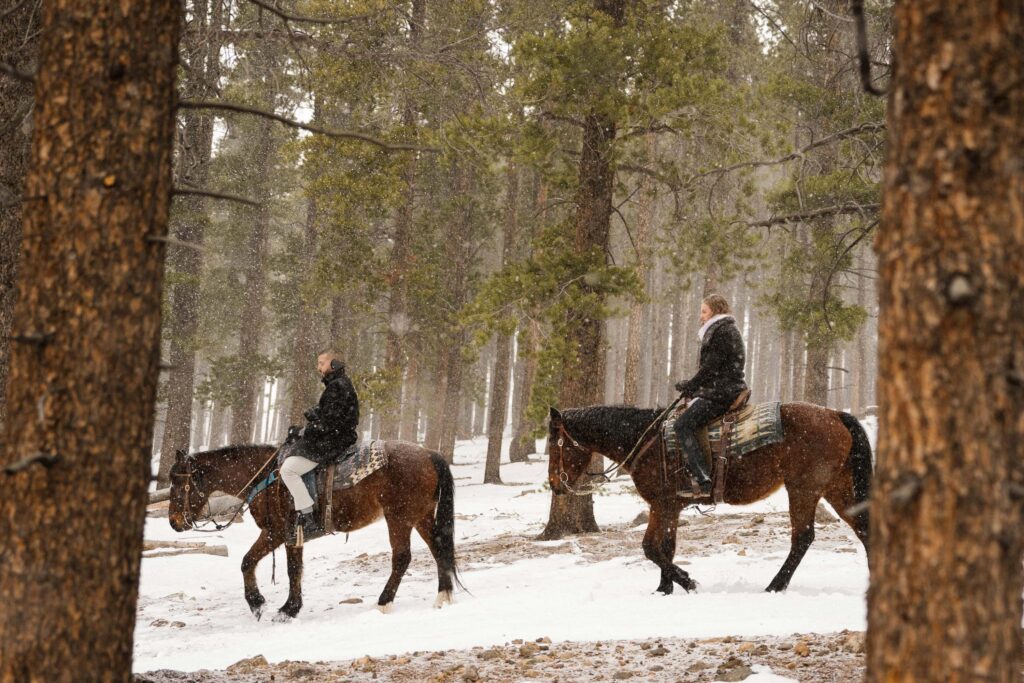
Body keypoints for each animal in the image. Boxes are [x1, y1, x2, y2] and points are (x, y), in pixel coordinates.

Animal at [165, 440, 462, 622]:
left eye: (178, 482)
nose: (174, 521)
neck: (266, 478)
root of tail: (428, 454)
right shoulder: (289, 536)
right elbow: (289, 568)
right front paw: (287, 608)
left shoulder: (277, 533)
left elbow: (254, 563)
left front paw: (263, 605)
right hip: (421, 516)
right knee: (438, 549)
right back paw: (443, 596)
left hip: (399, 518)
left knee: (401, 557)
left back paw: (384, 602)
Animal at [548, 403, 868, 593]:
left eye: (556, 443)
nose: (554, 484)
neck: (647, 440)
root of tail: (835, 415)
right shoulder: (670, 508)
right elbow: (667, 547)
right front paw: (664, 590)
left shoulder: (661, 504)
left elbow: (650, 548)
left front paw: (687, 582)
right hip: (837, 488)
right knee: (863, 528)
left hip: (803, 489)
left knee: (802, 537)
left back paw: (774, 586)